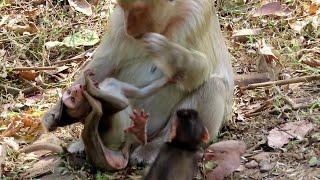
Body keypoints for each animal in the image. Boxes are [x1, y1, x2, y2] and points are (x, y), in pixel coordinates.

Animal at [42, 0, 232, 168]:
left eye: (139, 10)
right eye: (124, 8)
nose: (129, 29)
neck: (175, 16)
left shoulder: (197, 19)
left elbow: (201, 72)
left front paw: (170, 54)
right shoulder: (118, 20)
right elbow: (105, 63)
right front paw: (55, 111)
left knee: (214, 85)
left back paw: (153, 147)